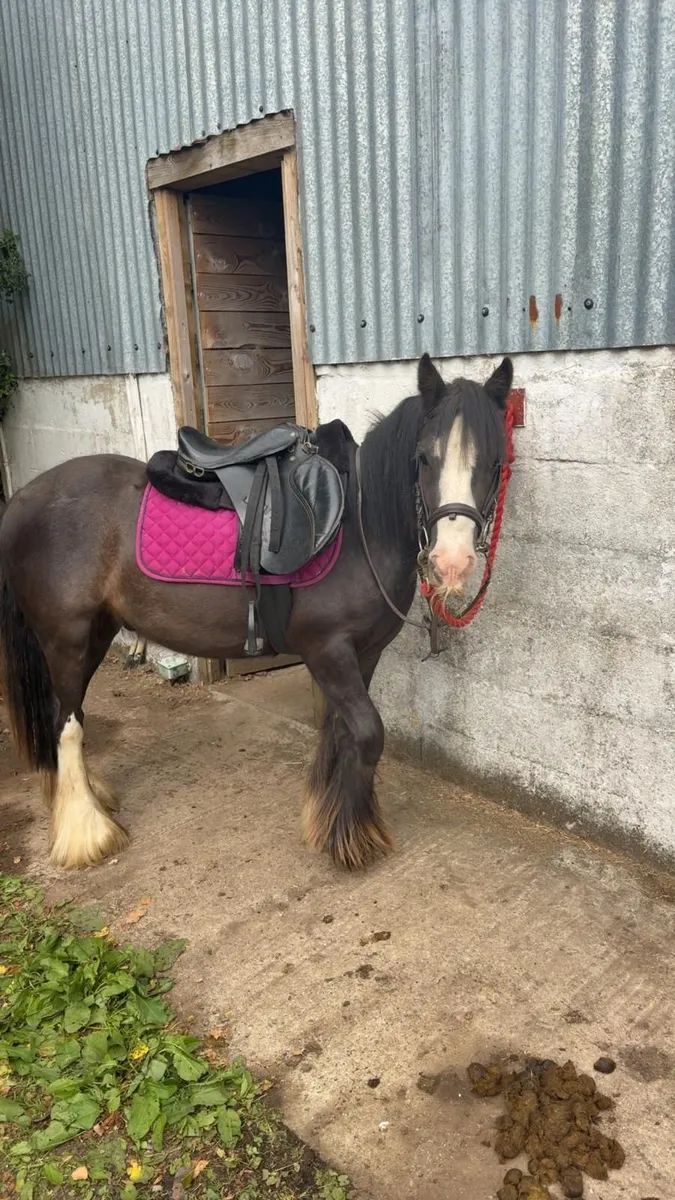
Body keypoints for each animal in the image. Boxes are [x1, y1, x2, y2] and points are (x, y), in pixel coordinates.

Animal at [0, 354, 513, 872]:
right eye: (424, 458)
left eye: (496, 462)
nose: (452, 561)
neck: (360, 528)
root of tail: (22, 498)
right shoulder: (328, 651)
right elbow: (368, 733)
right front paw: (352, 839)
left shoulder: (363, 654)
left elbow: (341, 730)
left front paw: (327, 821)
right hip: (65, 637)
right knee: (67, 724)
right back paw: (86, 832)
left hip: (96, 633)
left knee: (67, 714)